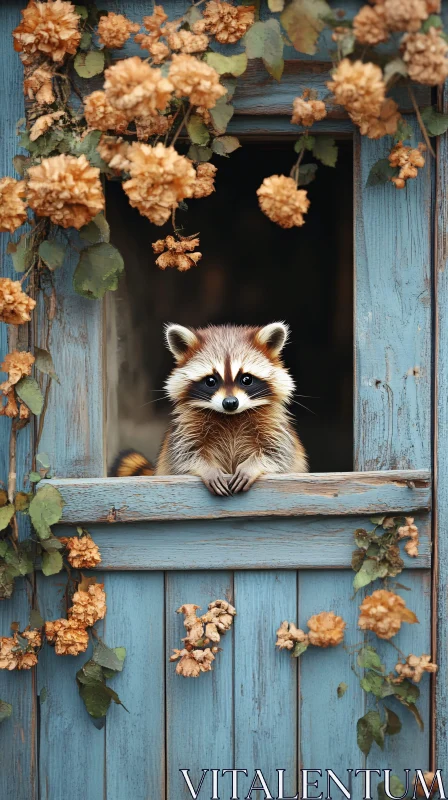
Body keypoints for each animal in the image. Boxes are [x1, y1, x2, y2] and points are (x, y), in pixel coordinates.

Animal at [112, 324, 308, 494]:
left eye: (246, 379)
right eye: (211, 381)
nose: (230, 403)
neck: (231, 416)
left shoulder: (273, 424)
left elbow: (278, 453)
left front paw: (251, 466)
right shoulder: (186, 426)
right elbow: (185, 455)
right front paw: (208, 469)